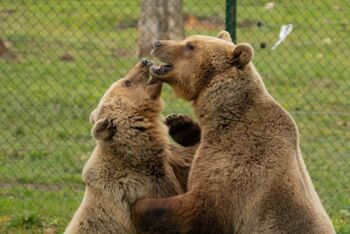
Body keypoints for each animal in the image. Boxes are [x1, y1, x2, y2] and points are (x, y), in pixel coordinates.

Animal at [133, 32, 334, 233]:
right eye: (187, 40)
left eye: (190, 46)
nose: (157, 43)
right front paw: (180, 124)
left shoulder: (242, 166)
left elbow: (200, 209)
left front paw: (140, 205)